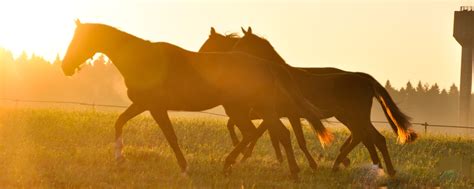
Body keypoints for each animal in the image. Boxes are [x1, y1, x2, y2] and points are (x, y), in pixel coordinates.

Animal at [61, 19, 332, 179]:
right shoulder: (142, 105)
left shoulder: (156, 107)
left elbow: (170, 136)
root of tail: (267, 65)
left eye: (80, 40)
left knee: (266, 133)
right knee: (271, 133)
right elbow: (119, 122)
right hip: (252, 109)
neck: (143, 59)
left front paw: (184, 168)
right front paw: (120, 159)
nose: (65, 67)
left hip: (246, 108)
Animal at [198, 26, 416, 176]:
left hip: (355, 115)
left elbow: (289, 138)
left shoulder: (284, 113)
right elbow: (279, 136)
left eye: (243, 44)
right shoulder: (279, 114)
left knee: (372, 137)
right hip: (349, 116)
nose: (234, 55)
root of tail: (365, 79)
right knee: (364, 136)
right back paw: (356, 165)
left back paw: (380, 168)